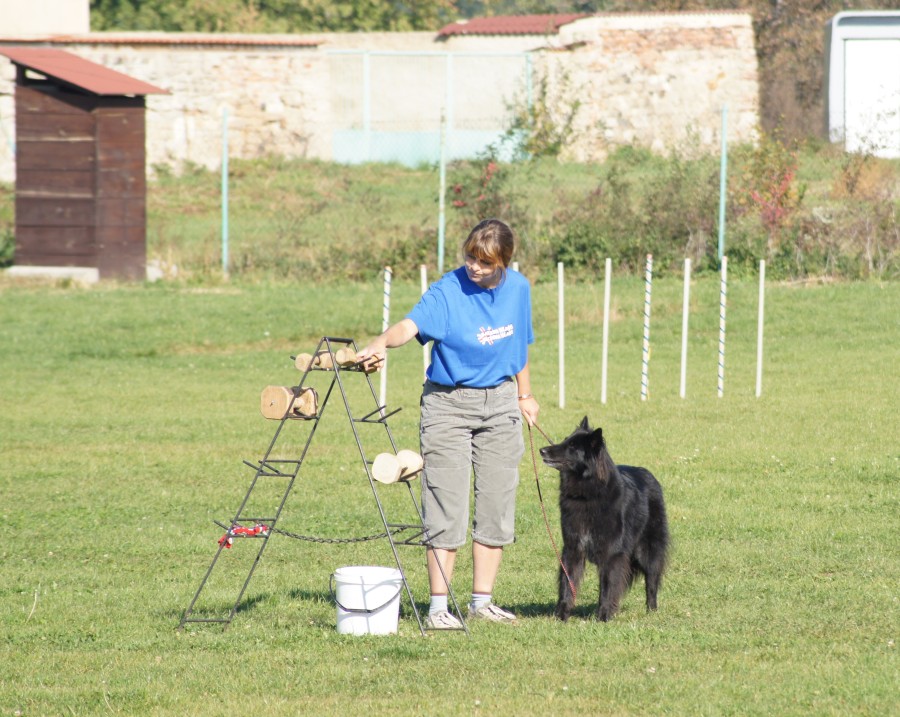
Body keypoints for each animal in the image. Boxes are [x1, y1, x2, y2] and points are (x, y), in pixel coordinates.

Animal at [540, 420, 668, 620]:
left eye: (572, 447)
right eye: (565, 441)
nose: (542, 450)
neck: (586, 495)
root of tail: (648, 474)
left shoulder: (612, 553)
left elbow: (608, 585)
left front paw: (604, 616)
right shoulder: (572, 548)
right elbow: (567, 583)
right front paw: (561, 615)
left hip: (649, 551)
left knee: (652, 582)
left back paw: (651, 611)